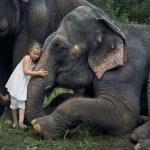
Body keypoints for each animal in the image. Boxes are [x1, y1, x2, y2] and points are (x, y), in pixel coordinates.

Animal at [25, 4, 150, 148]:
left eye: (62, 49)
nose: (34, 120)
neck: (112, 25)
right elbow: (73, 97)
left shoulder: (125, 68)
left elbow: (125, 114)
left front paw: (40, 125)